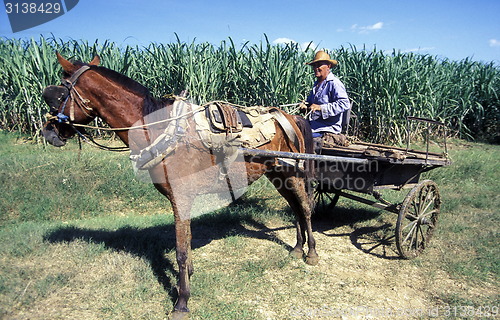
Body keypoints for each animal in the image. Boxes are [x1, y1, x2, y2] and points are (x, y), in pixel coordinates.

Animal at [42, 53, 316, 318]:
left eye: (58, 95)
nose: (48, 132)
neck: (162, 129)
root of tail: (290, 116)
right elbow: (186, 242)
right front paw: (188, 278)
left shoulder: (181, 197)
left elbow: (181, 251)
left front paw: (182, 301)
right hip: (276, 174)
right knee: (295, 207)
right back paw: (297, 247)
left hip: (291, 172)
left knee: (304, 207)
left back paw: (311, 252)